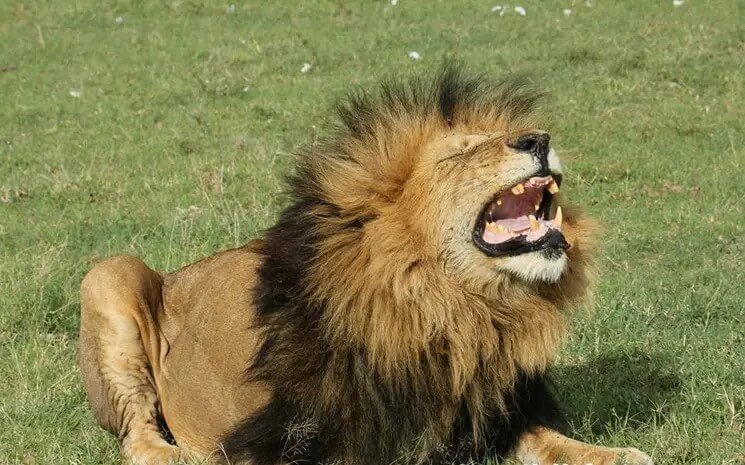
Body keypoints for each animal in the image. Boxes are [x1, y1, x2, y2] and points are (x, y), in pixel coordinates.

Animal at [78, 69, 652, 464]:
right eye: (457, 156)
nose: (539, 140)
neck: (456, 308)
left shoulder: (488, 415)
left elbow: (558, 442)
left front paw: (619, 455)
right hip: (109, 275)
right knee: (137, 433)